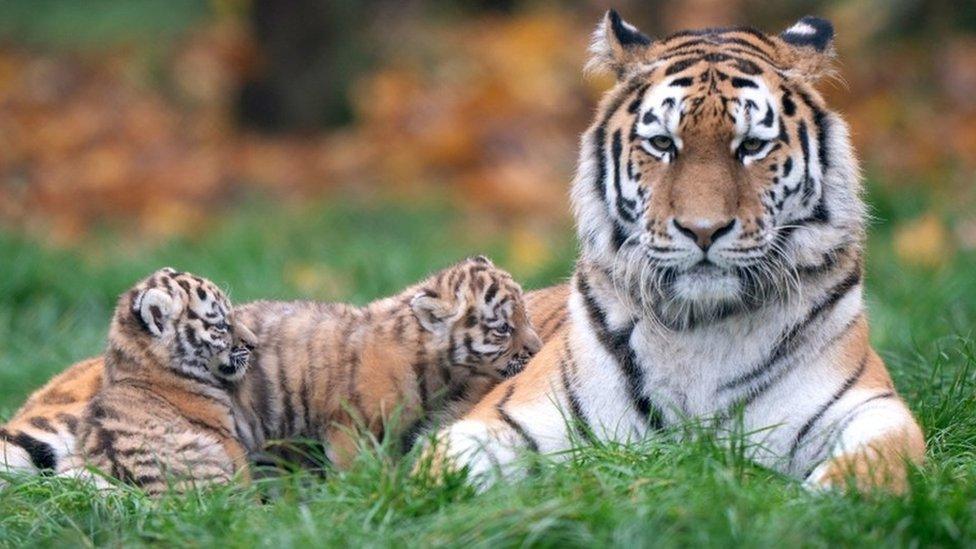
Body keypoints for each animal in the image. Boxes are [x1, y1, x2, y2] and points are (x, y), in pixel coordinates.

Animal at [430, 11, 928, 492]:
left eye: (752, 145)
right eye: (663, 144)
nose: (703, 230)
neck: (702, 328)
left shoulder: (873, 407)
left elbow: (876, 463)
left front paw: (827, 499)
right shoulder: (506, 416)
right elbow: (445, 470)